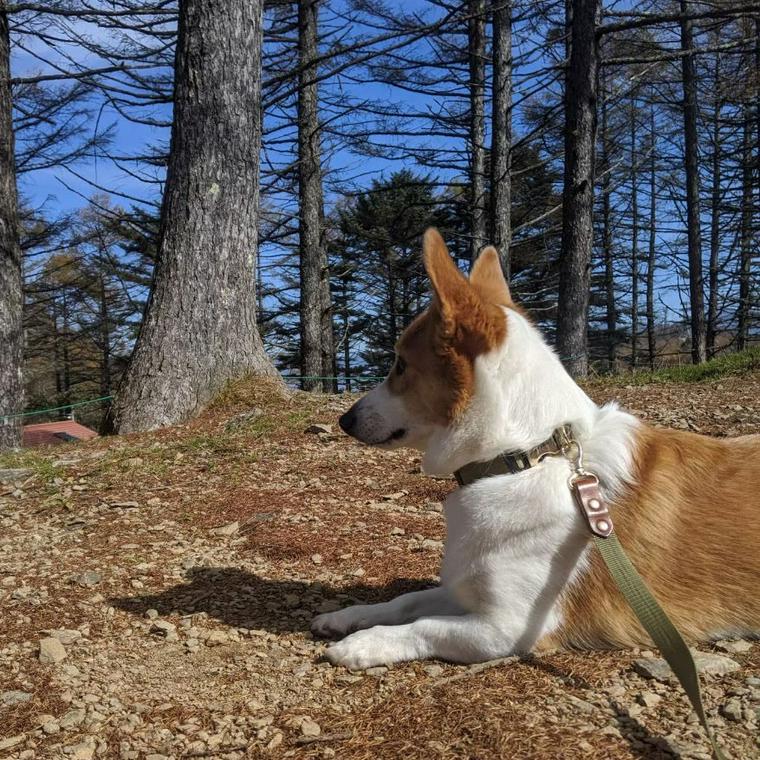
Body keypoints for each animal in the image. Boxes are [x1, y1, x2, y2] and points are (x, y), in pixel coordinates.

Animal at [310, 227, 760, 672]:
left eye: (401, 365)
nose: (345, 419)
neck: (527, 456)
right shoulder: (463, 590)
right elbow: (407, 601)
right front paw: (349, 617)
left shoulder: (507, 627)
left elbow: (423, 626)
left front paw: (364, 644)